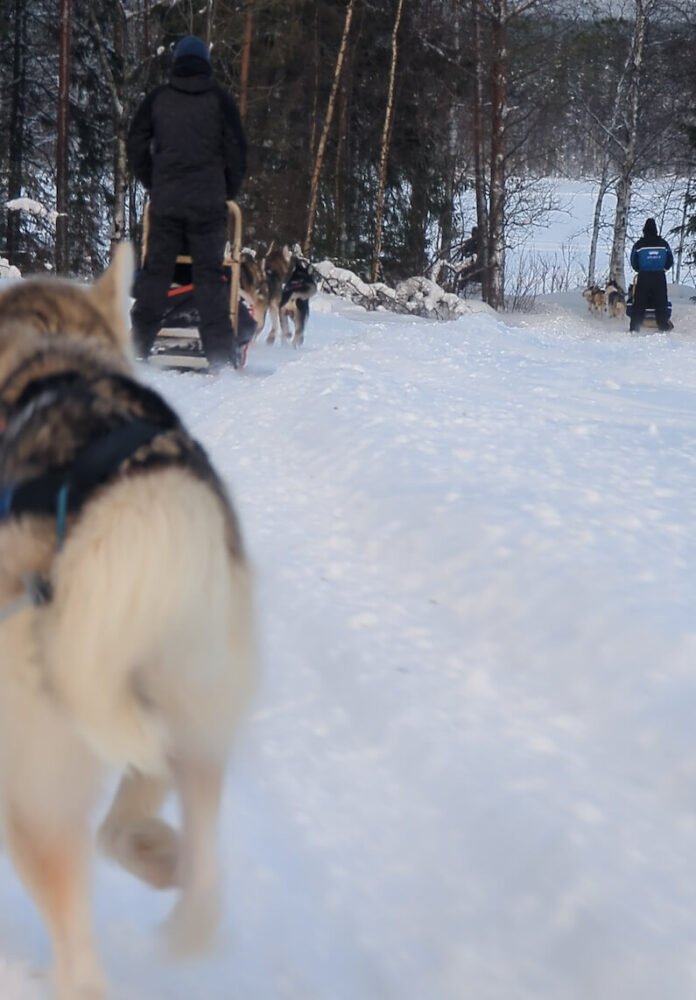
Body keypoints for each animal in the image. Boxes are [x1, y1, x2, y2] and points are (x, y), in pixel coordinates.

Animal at [0, 244, 256, 1000]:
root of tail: (137, 514)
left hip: (39, 794)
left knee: (80, 958)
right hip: (188, 719)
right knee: (191, 870)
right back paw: (175, 882)